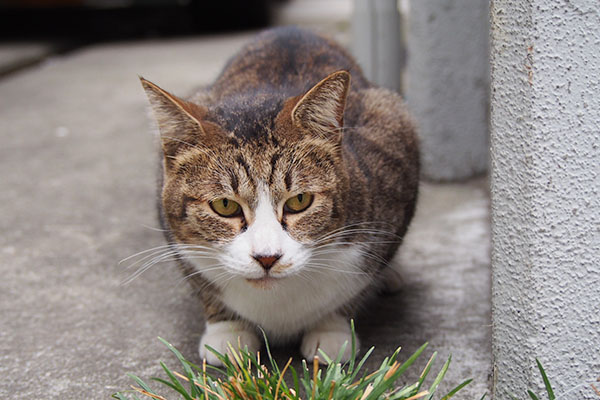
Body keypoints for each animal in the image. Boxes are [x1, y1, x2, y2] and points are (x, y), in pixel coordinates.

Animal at [140, 26, 420, 366]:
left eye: (299, 201)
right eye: (225, 205)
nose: (267, 258)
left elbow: (356, 285)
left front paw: (331, 330)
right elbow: (201, 283)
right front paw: (227, 331)